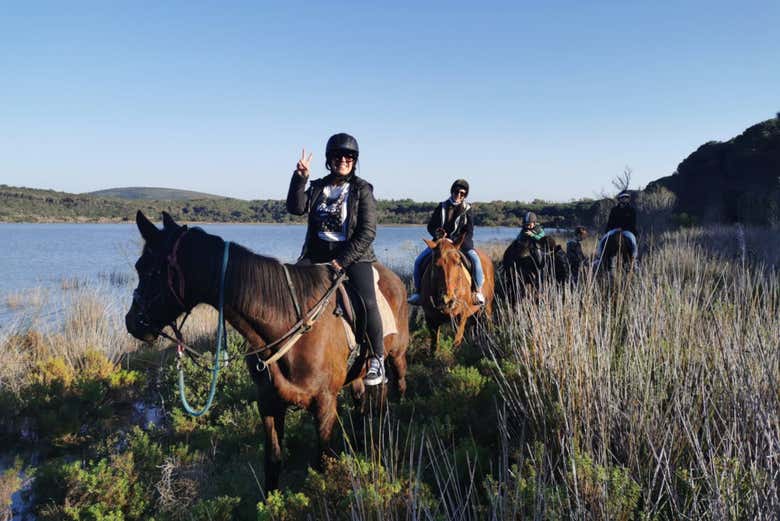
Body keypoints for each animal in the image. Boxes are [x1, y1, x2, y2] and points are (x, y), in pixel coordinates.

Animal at [125, 209, 412, 490]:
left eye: (149, 271)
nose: (132, 322)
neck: (287, 325)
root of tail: (394, 278)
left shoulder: (325, 404)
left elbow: (322, 463)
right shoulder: (269, 403)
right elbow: (272, 462)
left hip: (395, 356)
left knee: (395, 384)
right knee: (361, 400)